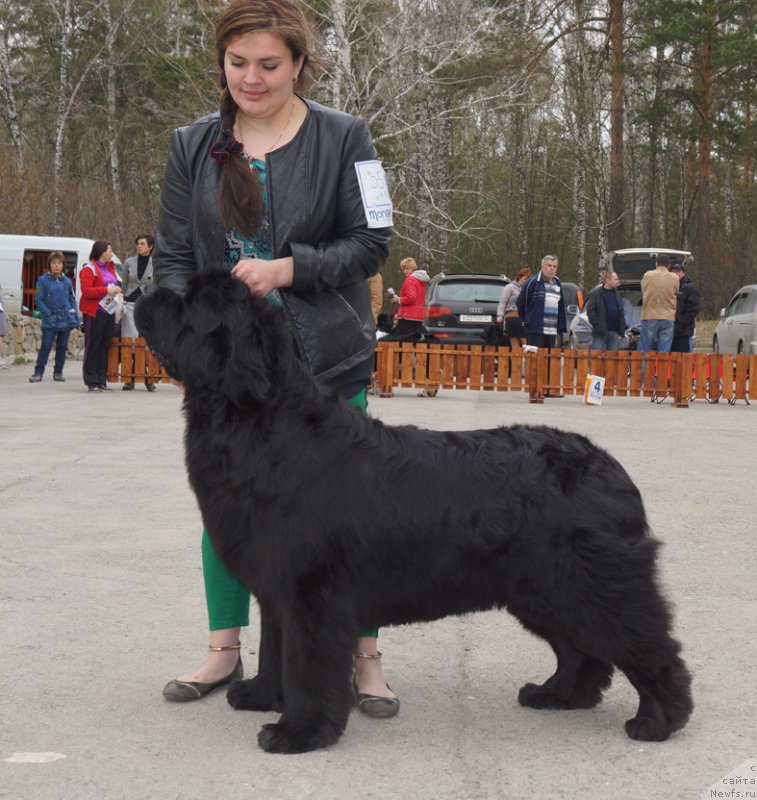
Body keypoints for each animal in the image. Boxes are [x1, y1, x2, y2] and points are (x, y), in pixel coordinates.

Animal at [136, 272, 692, 752]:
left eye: (189, 303)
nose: (144, 291)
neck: (259, 423)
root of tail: (613, 471)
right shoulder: (278, 586)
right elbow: (274, 648)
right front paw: (260, 696)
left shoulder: (312, 592)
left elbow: (306, 663)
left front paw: (299, 731)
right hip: (543, 590)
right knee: (581, 650)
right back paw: (557, 695)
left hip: (591, 585)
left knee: (648, 646)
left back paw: (658, 720)